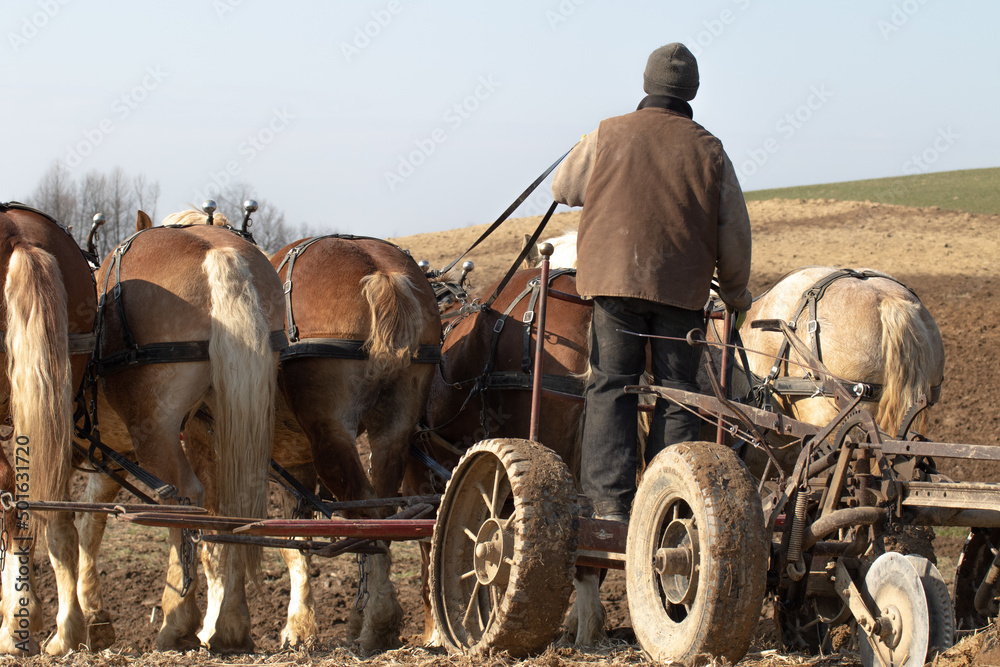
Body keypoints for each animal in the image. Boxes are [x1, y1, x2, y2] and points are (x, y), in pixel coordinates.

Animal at [73, 209, 284, 653]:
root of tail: (218, 253)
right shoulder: (114, 457)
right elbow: (89, 523)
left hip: (156, 433)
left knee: (183, 499)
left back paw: (178, 622)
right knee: (230, 507)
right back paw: (230, 627)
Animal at [265, 235, 442, 652]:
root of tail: (381, 270)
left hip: (331, 437)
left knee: (367, 515)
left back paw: (379, 620)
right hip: (394, 432)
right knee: (382, 513)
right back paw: (377, 619)